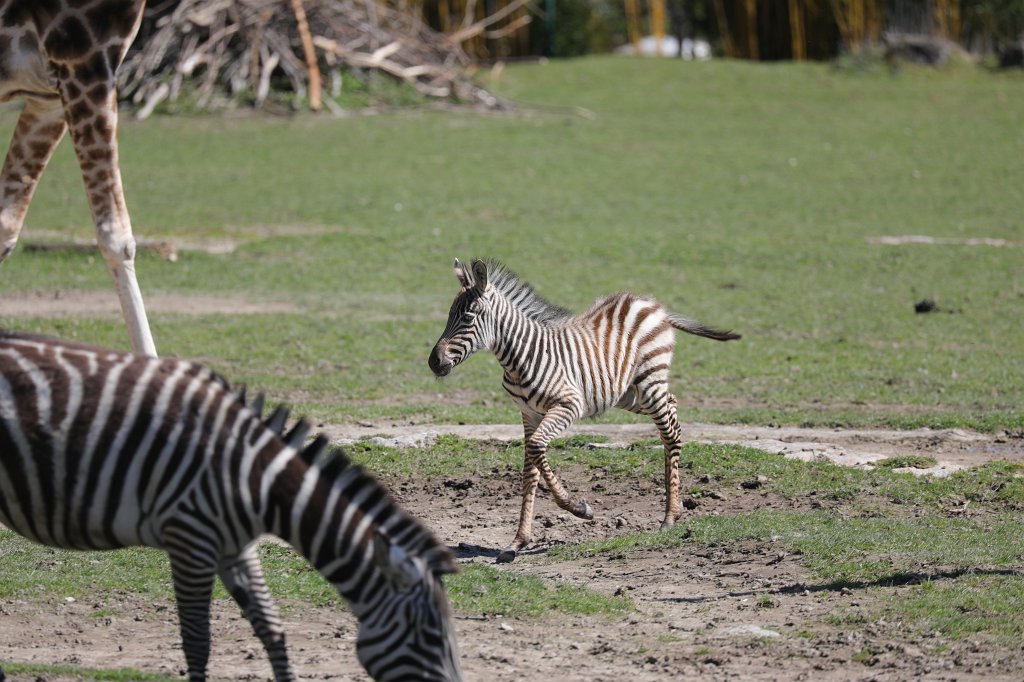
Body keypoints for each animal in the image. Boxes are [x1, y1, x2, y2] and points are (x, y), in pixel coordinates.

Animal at [0, 330, 462, 682]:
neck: (260, 480)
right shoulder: (191, 538)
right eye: (430, 636)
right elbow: (197, 642)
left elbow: (272, 628)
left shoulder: (234, 545)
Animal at [428, 258, 740, 563]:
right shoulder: (529, 414)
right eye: (449, 315)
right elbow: (530, 469)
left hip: (650, 379)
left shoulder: (569, 405)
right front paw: (518, 541)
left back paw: (670, 517)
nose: (434, 362)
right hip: (626, 392)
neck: (519, 358)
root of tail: (652, 305)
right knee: (672, 405)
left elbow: (537, 448)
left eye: (468, 317)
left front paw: (579, 509)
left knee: (670, 432)